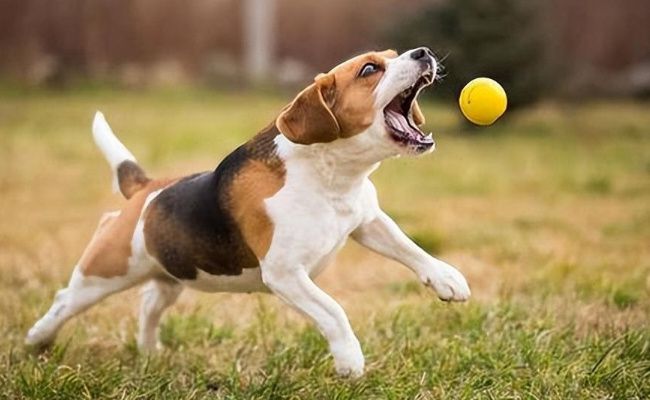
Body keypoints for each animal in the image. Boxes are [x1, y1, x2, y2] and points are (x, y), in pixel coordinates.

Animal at [25, 47, 468, 378]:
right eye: (370, 69)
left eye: (394, 55)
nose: (423, 52)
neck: (331, 175)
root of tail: (146, 190)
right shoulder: (286, 274)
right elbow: (334, 311)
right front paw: (350, 360)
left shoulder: (368, 221)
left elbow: (410, 249)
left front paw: (447, 279)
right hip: (105, 272)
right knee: (65, 300)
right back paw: (37, 340)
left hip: (171, 274)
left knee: (150, 301)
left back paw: (149, 350)